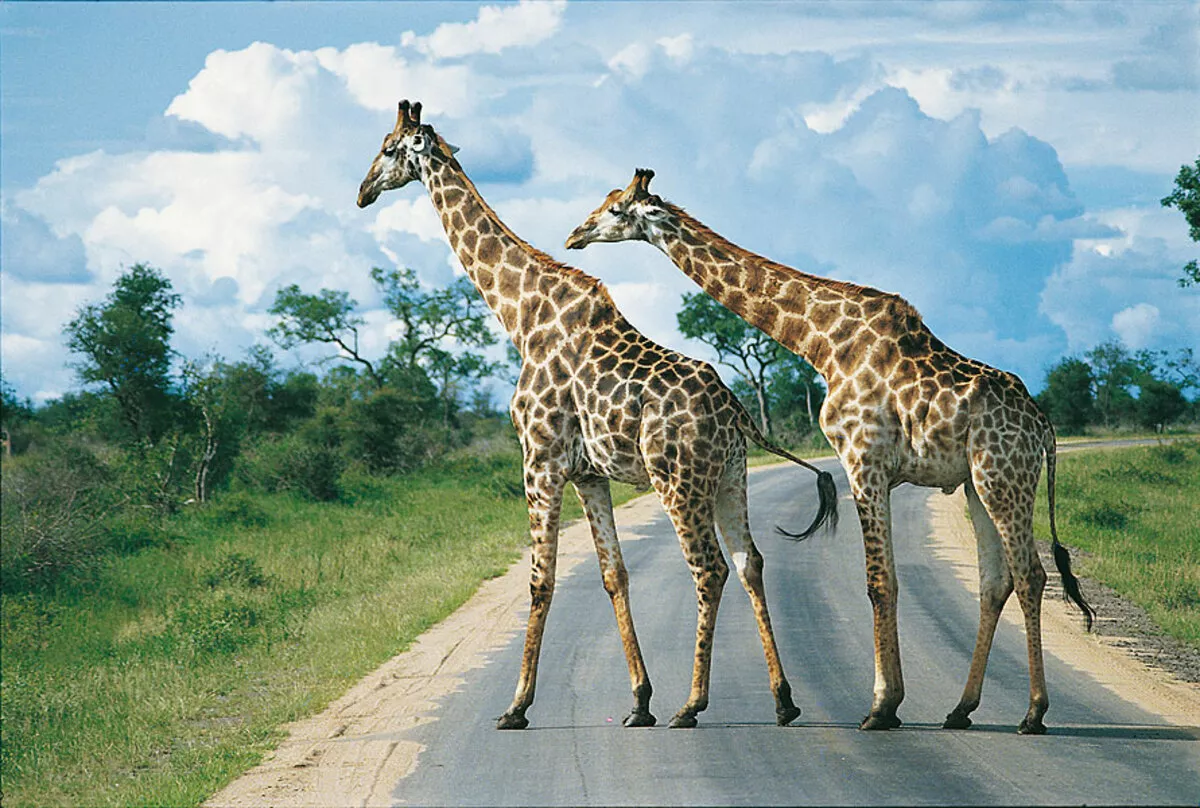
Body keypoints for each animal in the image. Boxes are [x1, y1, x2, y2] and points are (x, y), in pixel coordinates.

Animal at [357, 102, 835, 729]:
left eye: (389, 149)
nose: (362, 192)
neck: (521, 317)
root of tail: (738, 414)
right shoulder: (588, 473)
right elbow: (614, 574)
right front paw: (638, 701)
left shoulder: (539, 461)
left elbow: (541, 580)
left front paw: (517, 706)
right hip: (731, 477)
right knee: (748, 560)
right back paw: (782, 700)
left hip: (678, 479)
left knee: (709, 568)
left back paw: (692, 704)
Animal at [564, 166, 1099, 734]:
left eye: (616, 209)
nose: (575, 235)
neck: (820, 343)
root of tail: (1043, 427)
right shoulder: (874, 468)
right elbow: (886, 580)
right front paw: (892, 704)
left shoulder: (864, 461)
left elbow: (879, 582)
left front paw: (882, 707)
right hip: (978, 484)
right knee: (995, 582)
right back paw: (960, 709)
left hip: (1005, 477)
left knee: (1031, 575)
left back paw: (1033, 713)